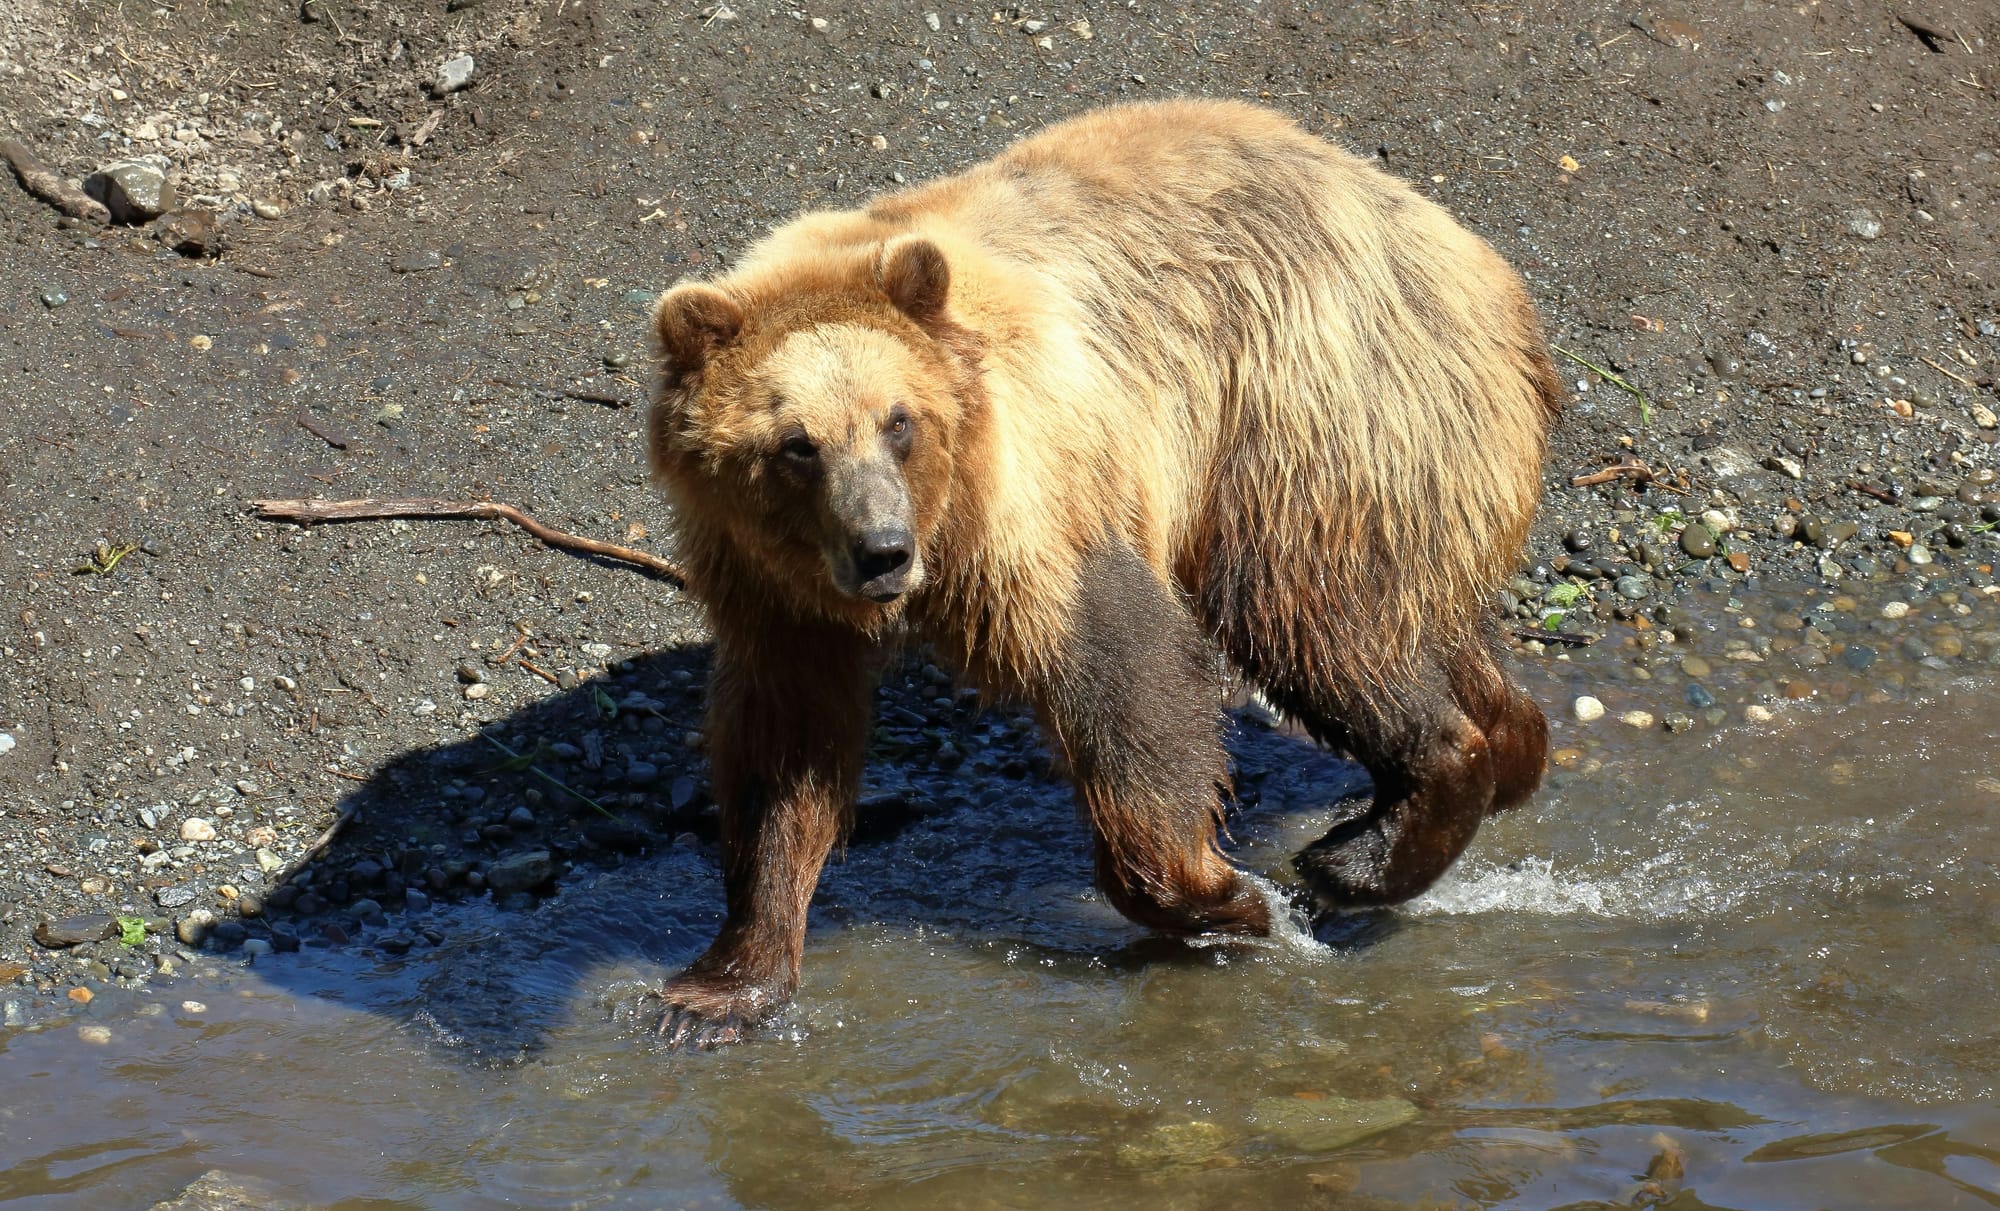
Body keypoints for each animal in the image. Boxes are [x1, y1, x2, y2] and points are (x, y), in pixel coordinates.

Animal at [645, 98, 1559, 1047]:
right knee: (1426, 629)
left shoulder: (1035, 499)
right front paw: (719, 986)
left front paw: (1224, 899)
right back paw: (1504, 750)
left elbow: (1124, 678)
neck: (944, 523)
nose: (883, 549)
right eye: (797, 444)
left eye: (898, 420)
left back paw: (1360, 850)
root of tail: (1479, 265)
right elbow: (784, 747)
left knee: (1311, 617)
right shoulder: (772, 589)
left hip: (1313, 411)